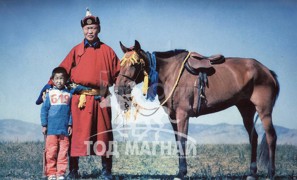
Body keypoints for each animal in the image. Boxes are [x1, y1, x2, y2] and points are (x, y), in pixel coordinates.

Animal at [113, 40, 278, 180]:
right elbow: (178, 142)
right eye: (121, 63)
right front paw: (180, 171)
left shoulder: (183, 114)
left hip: (264, 111)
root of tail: (268, 71)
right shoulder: (173, 117)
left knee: (271, 137)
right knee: (254, 137)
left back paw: (271, 173)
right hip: (246, 109)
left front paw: (182, 173)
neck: (170, 73)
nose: (118, 88)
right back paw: (252, 173)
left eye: (134, 64)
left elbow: (182, 141)